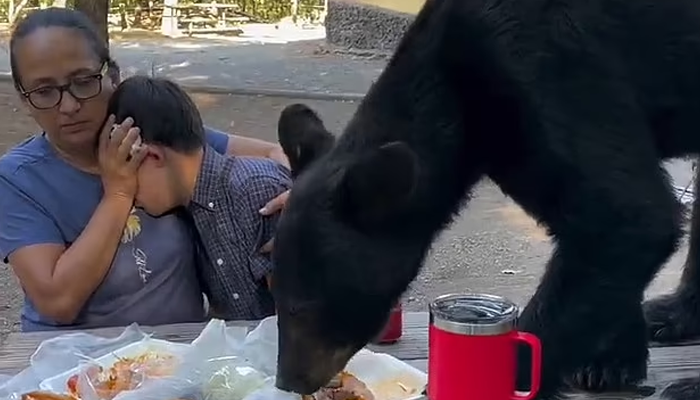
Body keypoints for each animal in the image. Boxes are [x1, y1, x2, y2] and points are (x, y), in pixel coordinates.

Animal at [270, 0, 700, 396]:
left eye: (301, 308)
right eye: (275, 294)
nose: (289, 380)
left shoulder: (550, 70)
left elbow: (626, 216)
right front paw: (611, 360)